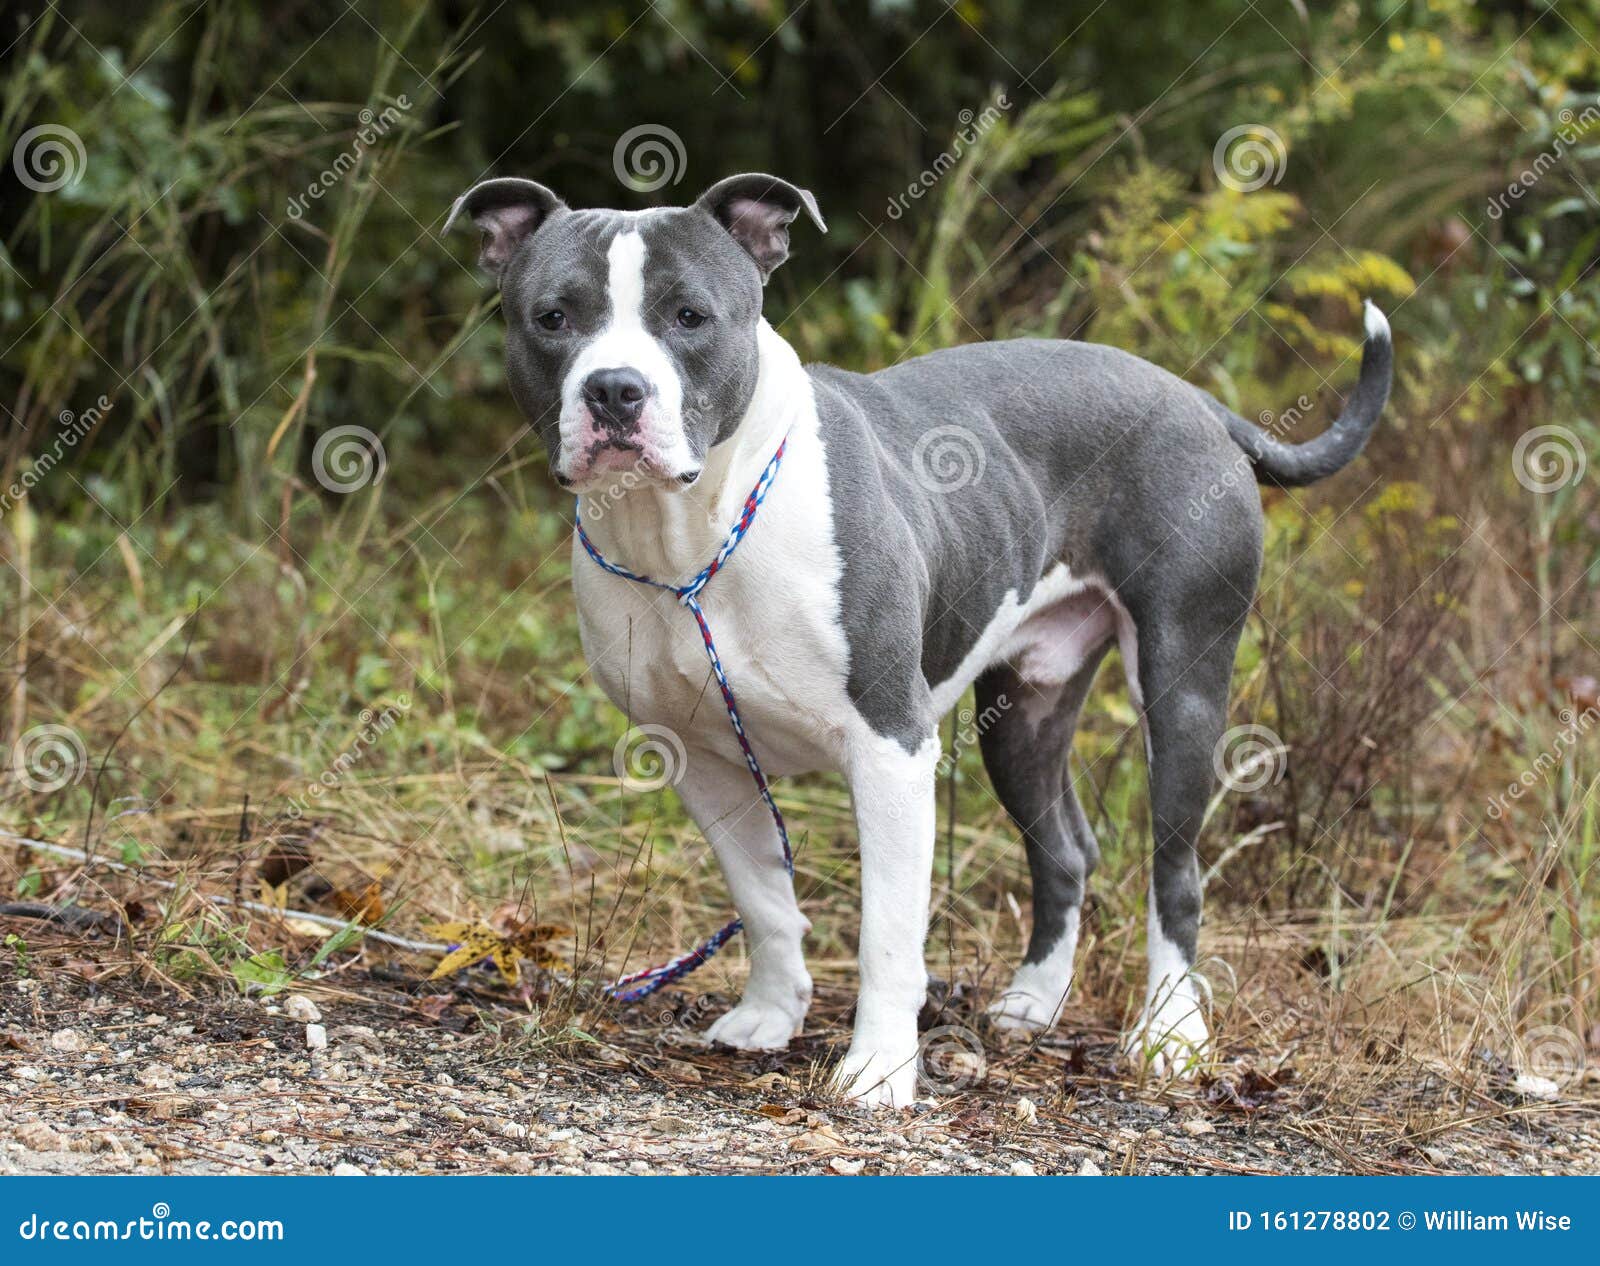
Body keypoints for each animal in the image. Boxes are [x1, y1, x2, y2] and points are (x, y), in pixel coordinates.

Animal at [441, 170, 1388, 1107]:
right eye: (552, 317)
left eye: (689, 316)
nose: (615, 390)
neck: (691, 538)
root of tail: (1198, 402)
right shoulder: (705, 761)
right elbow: (765, 900)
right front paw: (771, 1014)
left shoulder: (890, 748)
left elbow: (888, 934)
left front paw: (878, 1071)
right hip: (1023, 712)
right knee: (1066, 850)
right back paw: (1032, 1003)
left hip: (1182, 684)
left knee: (1174, 870)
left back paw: (1170, 1036)